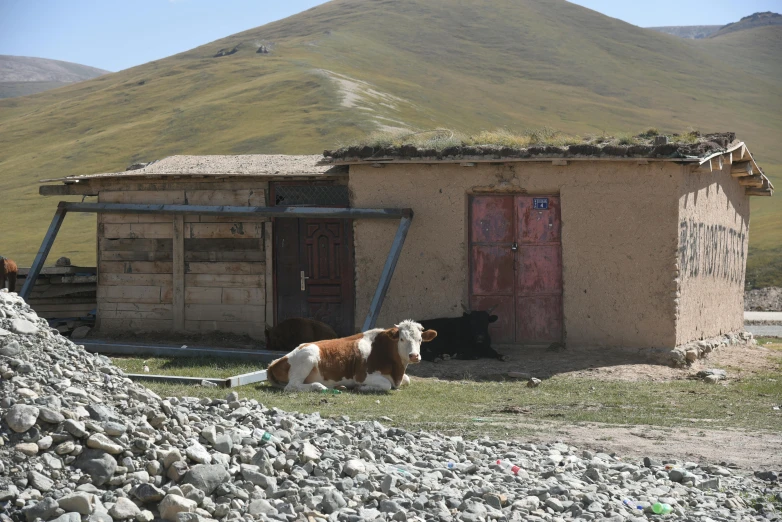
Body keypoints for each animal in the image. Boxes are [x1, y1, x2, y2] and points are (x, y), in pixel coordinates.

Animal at [266, 316, 438, 390]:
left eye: (420, 340)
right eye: (402, 339)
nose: (414, 356)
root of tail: (276, 361)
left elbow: (407, 380)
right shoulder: (362, 376)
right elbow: (386, 385)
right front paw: (362, 388)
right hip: (309, 355)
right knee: (292, 386)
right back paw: (320, 387)